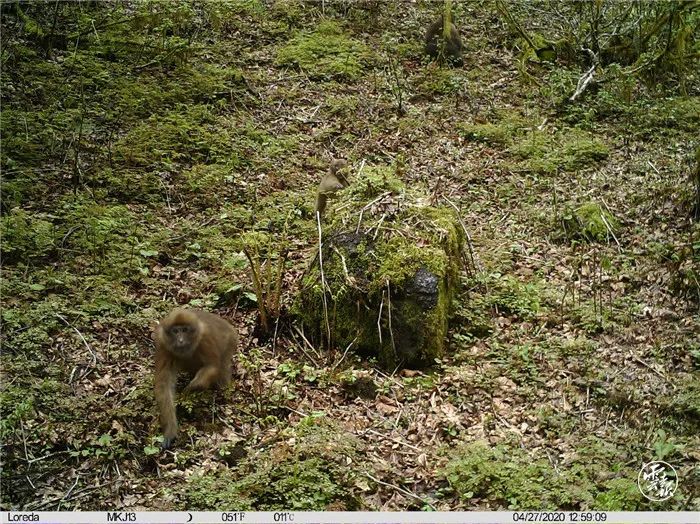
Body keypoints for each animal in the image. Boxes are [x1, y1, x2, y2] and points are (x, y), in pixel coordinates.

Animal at [153, 308, 238, 450]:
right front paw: (170, 430)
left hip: (230, 341)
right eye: (176, 331)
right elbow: (164, 384)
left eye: (184, 330)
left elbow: (212, 366)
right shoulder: (163, 343)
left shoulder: (205, 337)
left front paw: (190, 389)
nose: (181, 340)